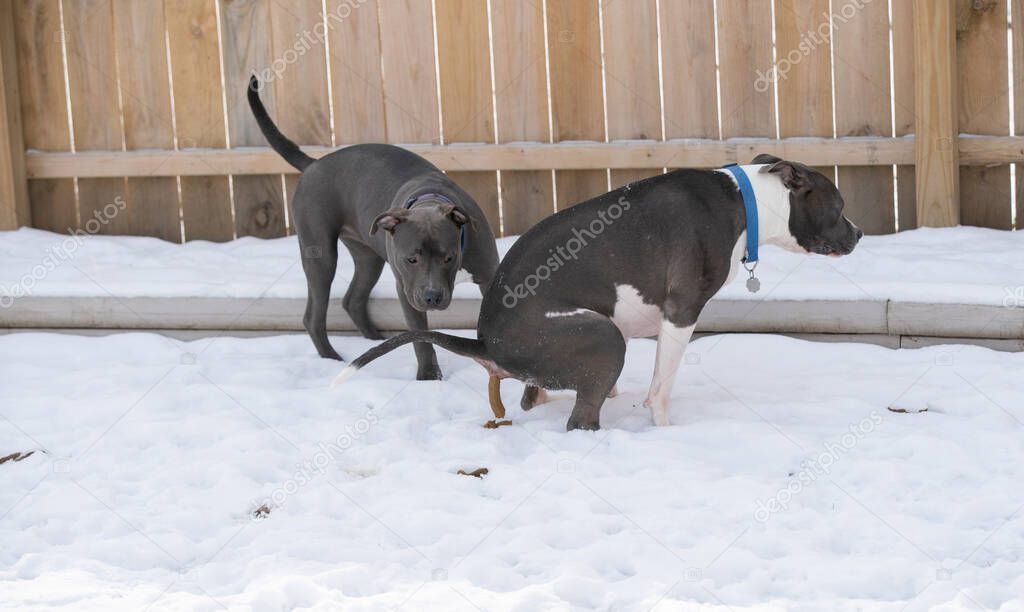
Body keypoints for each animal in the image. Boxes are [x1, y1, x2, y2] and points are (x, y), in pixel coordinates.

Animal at [251, 76, 499, 378]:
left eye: (449, 258)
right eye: (411, 259)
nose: (431, 297)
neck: (430, 199)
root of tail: (314, 164)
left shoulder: (489, 276)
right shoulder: (406, 290)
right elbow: (420, 338)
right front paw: (429, 377)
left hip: (367, 257)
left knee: (353, 300)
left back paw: (374, 343)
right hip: (320, 255)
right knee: (314, 316)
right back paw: (333, 359)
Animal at [333, 155, 856, 429]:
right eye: (840, 206)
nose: (858, 234)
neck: (745, 201)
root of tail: (487, 343)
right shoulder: (681, 312)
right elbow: (662, 384)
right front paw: (662, 425)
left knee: (539, 397)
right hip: (604, 336)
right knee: (579, 418)